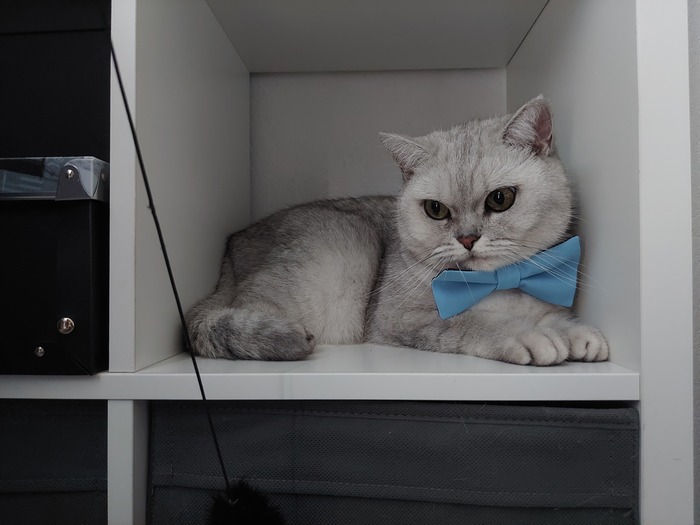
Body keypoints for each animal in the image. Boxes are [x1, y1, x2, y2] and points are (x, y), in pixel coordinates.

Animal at [186, 96, 608, 366]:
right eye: (436, 210)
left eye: (501, 199)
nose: (467, 239)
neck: (498, 285)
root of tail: (232, 246)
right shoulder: (403, 319)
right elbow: (475, 322)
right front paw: (527, 335)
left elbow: (548, 316)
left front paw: (573, 333)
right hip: (340, 253)